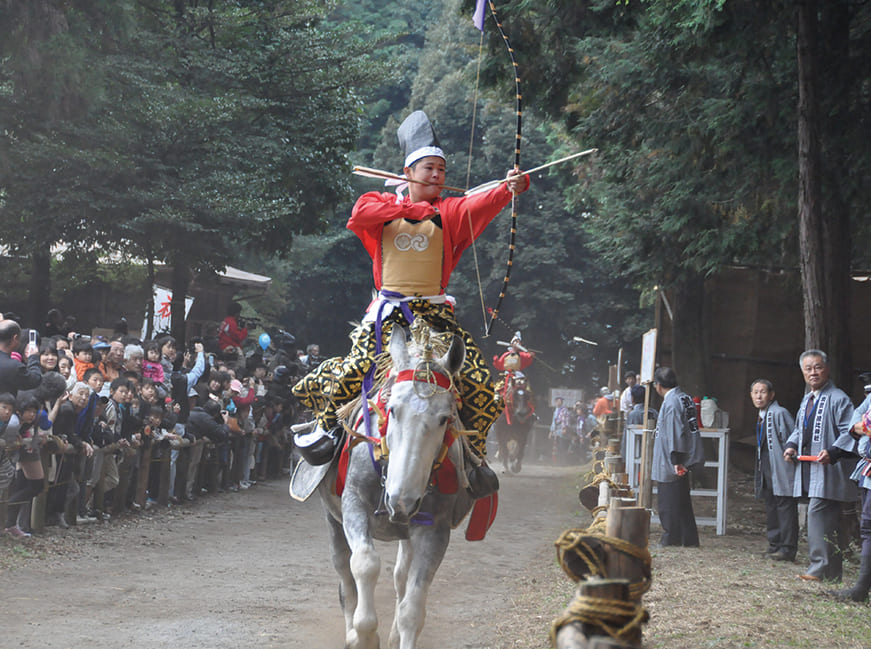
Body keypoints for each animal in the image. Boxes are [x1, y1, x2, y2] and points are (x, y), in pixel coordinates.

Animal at [316, 324, 474, 648]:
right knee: (343, 571)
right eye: (392, 409)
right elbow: (364, 563)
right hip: (332, 515)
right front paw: (362, 635)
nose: (401, 501)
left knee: (401, 576)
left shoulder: (434, 527)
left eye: (444, 418)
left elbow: (412, 608)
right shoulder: (353, 504)